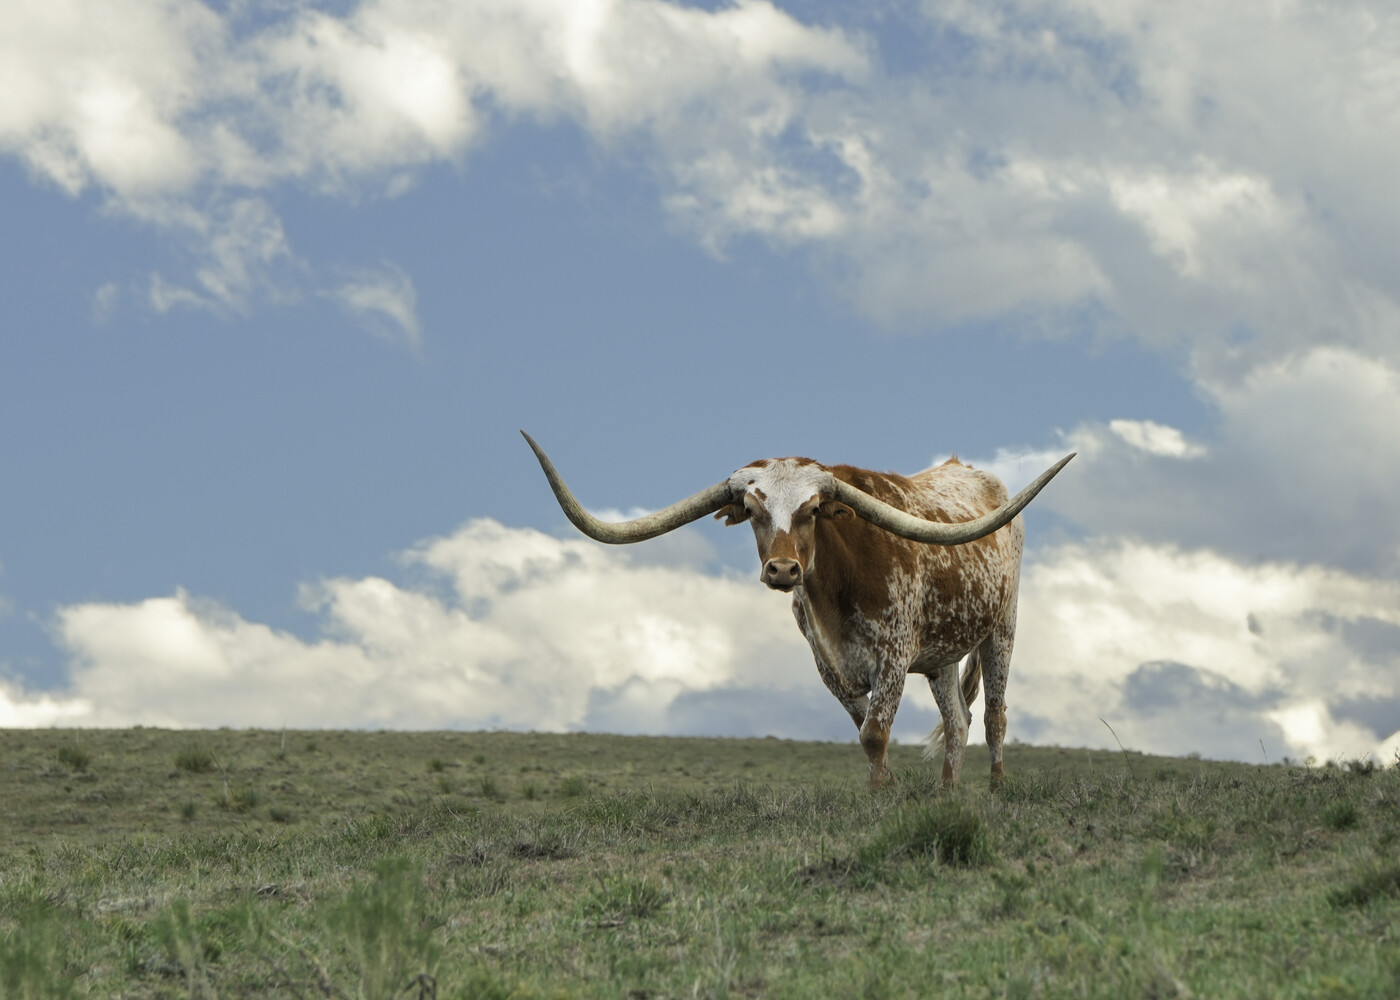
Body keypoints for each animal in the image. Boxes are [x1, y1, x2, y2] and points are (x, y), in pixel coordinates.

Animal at [521, 431, 1073, 789]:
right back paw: (947, 795)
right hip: (941, 655)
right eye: (753, 511)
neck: (838, 590)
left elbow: (875, 734)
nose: (783, 570)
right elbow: (865, 731)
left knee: (995, 715)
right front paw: (891, 789)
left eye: (812, 511)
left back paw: (996, 791)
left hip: (1002, 627)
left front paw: (881, 797)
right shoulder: (830, 668)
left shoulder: (893, 657)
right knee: (958, 721)